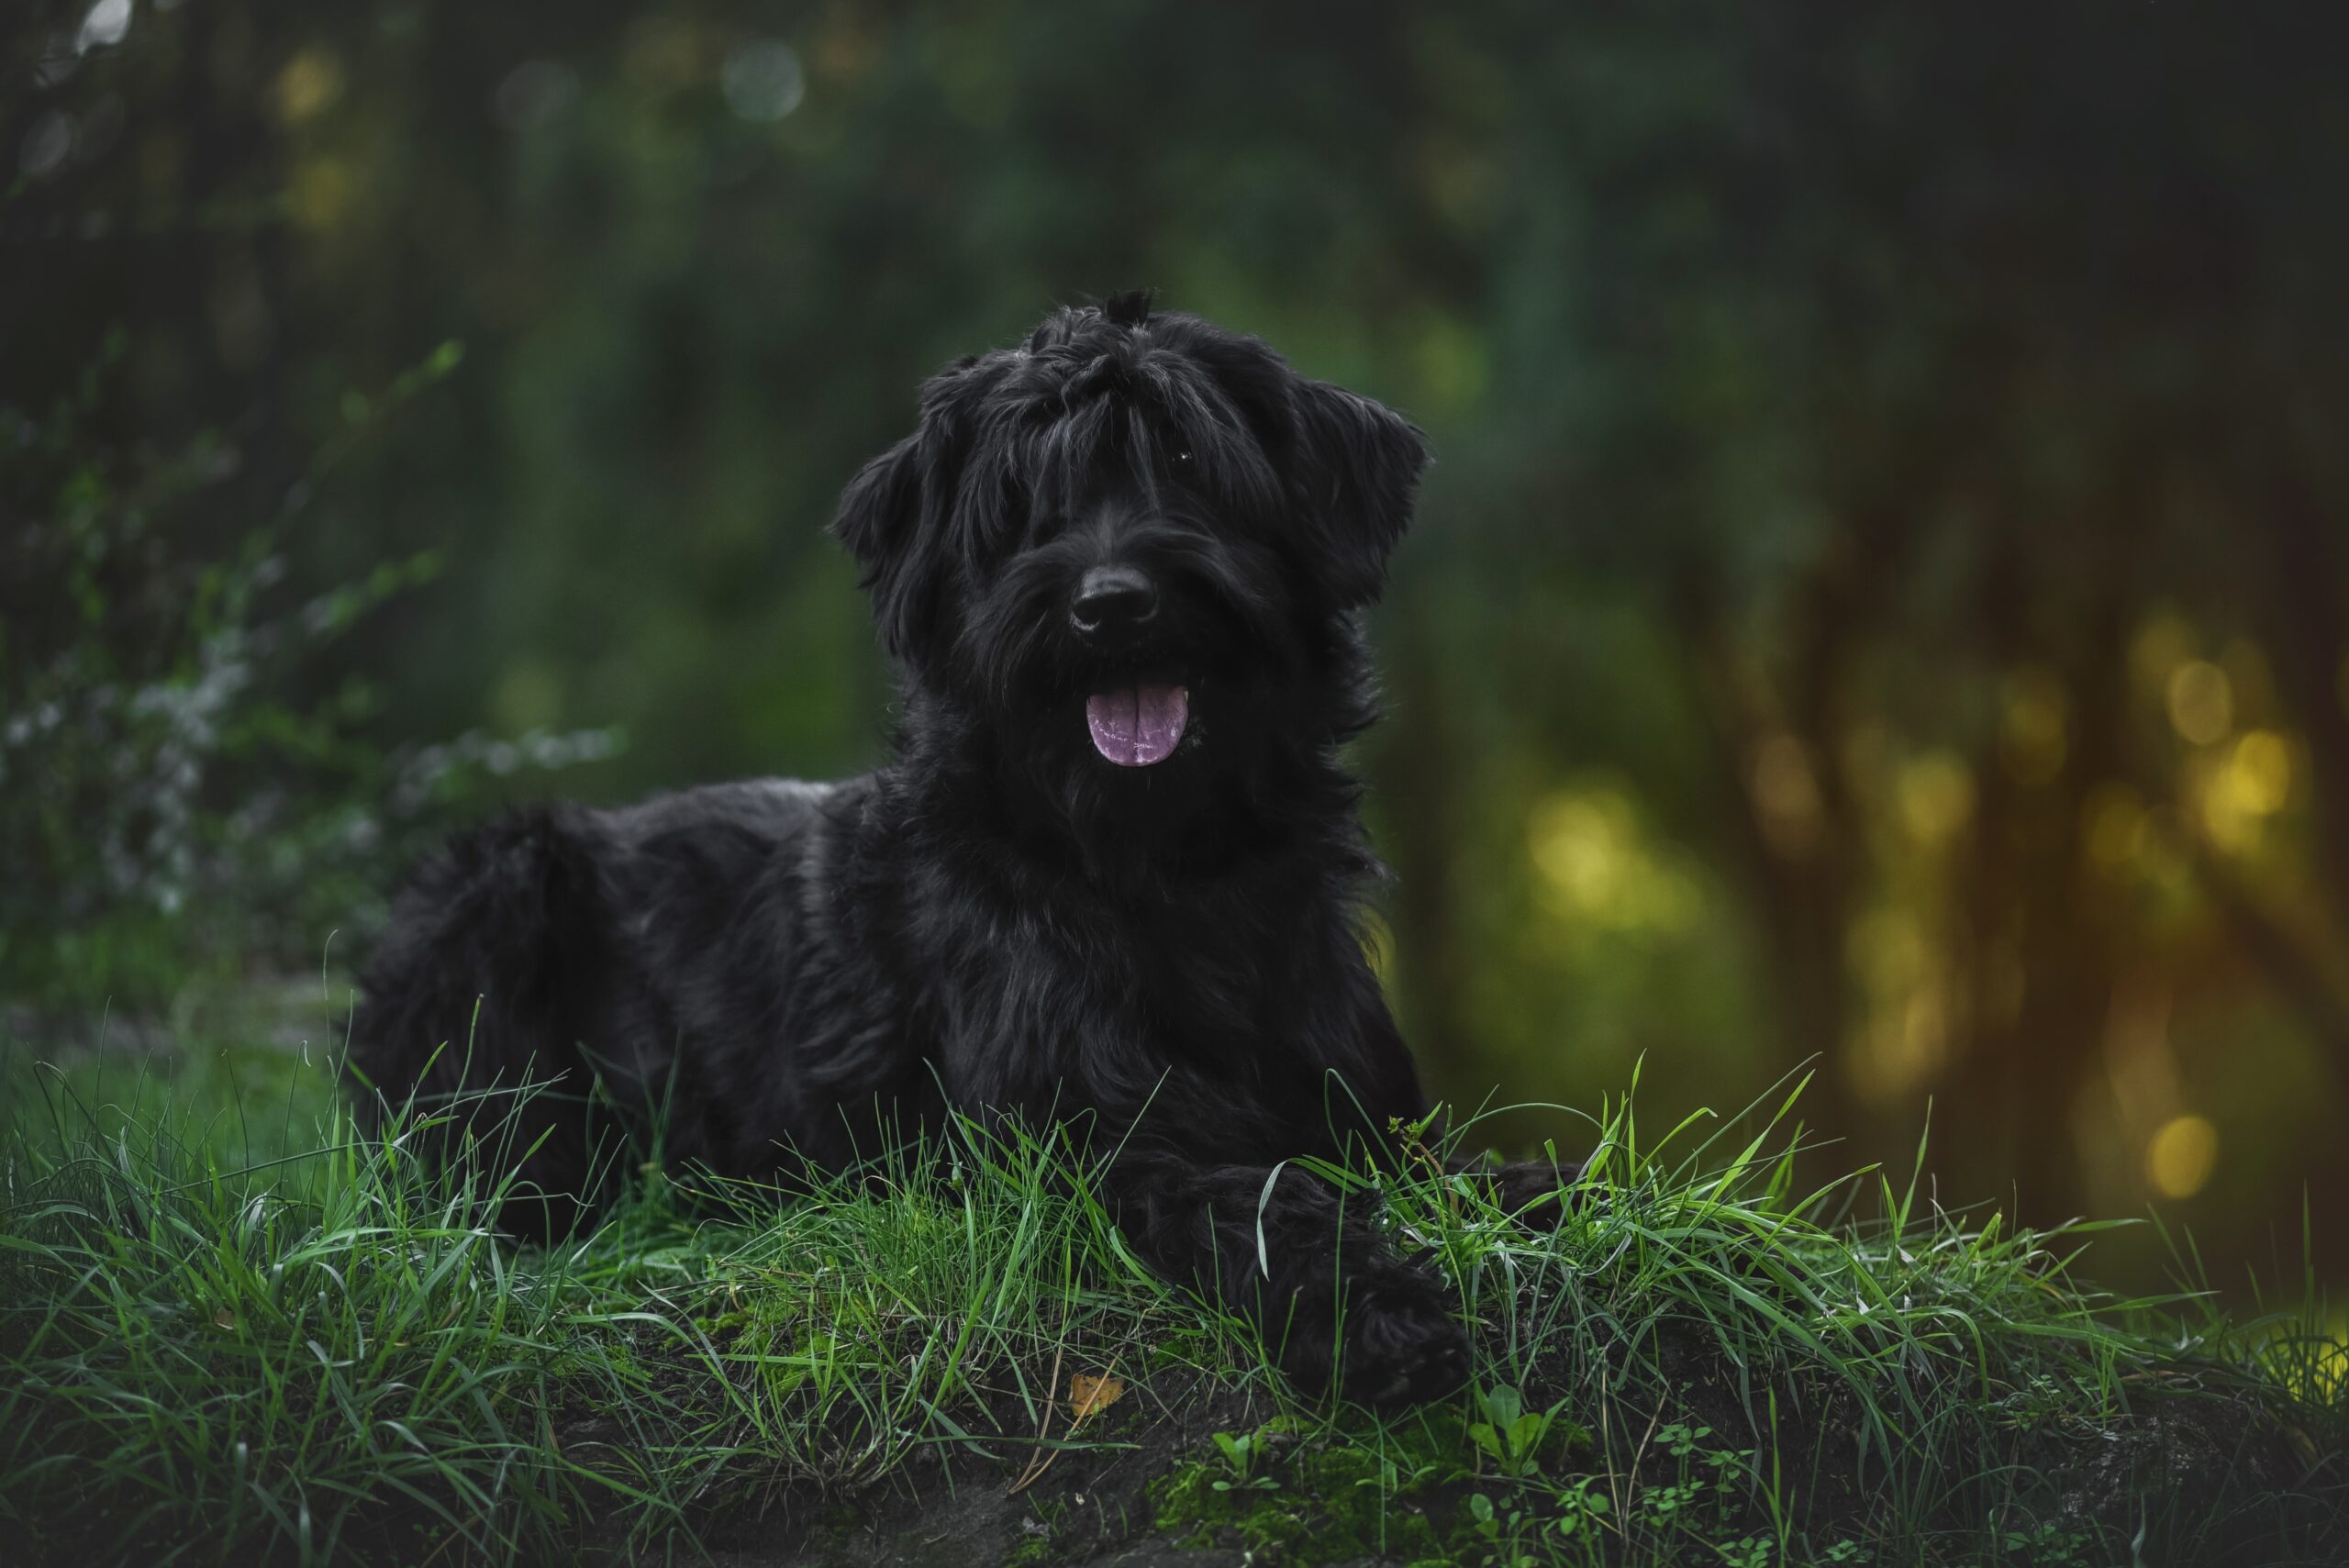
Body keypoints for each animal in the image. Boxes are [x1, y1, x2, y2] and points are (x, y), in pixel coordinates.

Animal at [347, 293, 1559, 1408]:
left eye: (1185, 457)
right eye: (1021, 500)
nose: (1110, 603)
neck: (1160, 870)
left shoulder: (1369, 1122)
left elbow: (1476, 1174)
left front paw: (1532, 1192)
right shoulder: (1069, 1152)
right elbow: (1255, 1197)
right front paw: (1377, 1313)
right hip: (498, 890)